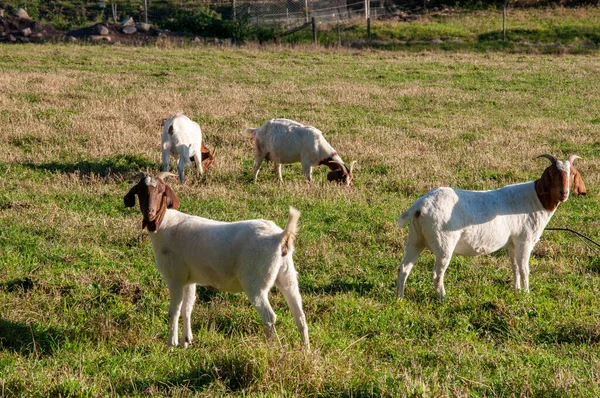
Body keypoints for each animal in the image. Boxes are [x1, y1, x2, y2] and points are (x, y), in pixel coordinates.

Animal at [122, 171, 310, 348]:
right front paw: (186, 341)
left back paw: (272, 347)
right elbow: (187, 308)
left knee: (270, 317)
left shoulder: (175, 277)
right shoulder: (189, 279)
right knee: (300, 315)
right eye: (140, 191)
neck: (164, 224)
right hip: (287, 276)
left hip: (255, 282)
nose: (150, 213)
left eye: (162, 192)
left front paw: (172, 343)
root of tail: (280, 236)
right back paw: (305, 349)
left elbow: (174, 310)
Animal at [396, 154, 584, 300]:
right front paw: (527, 293)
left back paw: (400, 298)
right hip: (444, 243)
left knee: (404, 268)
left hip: (415, 239)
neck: (536, 199)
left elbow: (515, 267)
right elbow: (524, 269)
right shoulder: (525, 240)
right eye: (552, 173)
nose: (564, 193)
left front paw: (516, 290)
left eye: (572, 174)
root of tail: (420, 206)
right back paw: (443, 298)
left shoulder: (512, 243)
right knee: (436, 274)